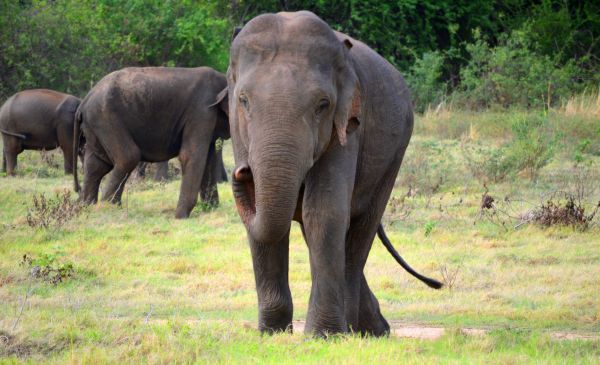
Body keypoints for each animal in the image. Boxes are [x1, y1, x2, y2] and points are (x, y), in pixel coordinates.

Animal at [72, 67, 227, 218]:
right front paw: (180, 217)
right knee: (128, 157)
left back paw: (86, 208)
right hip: (105, 119)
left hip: (95, 126)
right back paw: (108, 208)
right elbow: (191, 155)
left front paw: (211, 209)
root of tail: (83, 102)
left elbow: (208, 160)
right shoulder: (202, 111)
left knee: (96, 165)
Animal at [225, 10, 440, 336]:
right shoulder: (238, 132)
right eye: (243, 101)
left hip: (396, 150)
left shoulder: (348, 126)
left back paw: (357, 329)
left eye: (322, 105)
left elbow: (324, 212)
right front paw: (272, 333)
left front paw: (323, 336)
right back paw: (375, 328)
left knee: (361, 229)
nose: (241, 172)